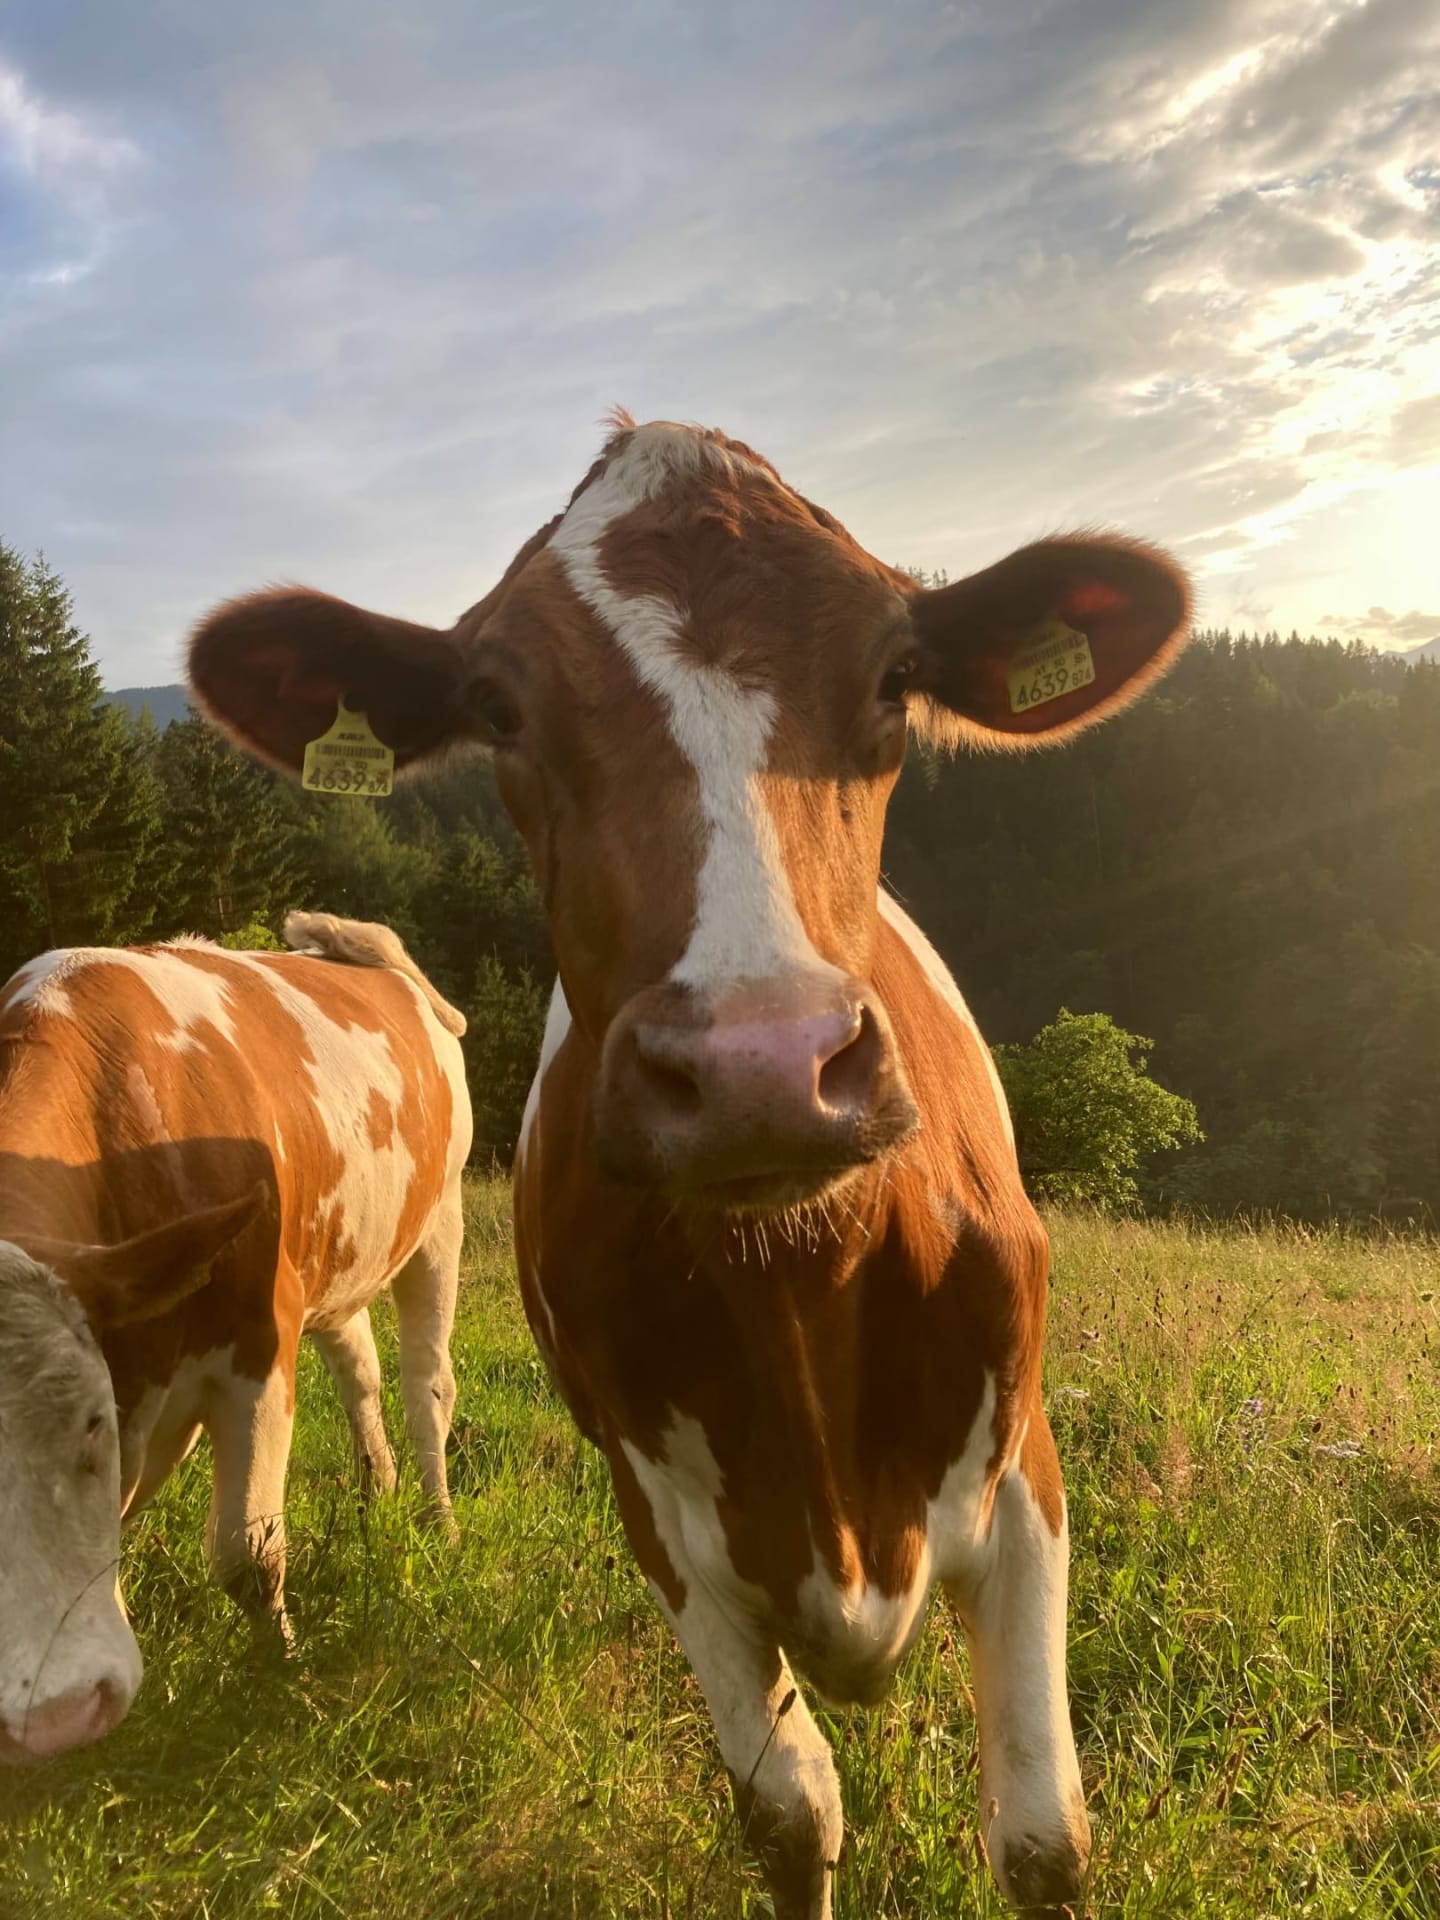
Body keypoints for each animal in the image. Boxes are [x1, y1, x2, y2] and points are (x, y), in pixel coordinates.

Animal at [0, 914, 471, 1763]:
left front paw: (285, 1682)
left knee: (428, 1385)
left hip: (438, 1218)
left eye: (89, 1425)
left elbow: (248, 1557)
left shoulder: (257, 1341)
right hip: (333, 1256)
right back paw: (377, 1487)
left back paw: (436, 1521)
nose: (50, 1721)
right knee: (359, 1366)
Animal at [188, 415, 1189, 1916]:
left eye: (898, 673)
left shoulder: (1026, 1481)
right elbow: (790, 1815)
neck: (801, 1287)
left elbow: (1041, 1840)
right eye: (499, 707)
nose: (758, 1069)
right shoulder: (660, 1516)